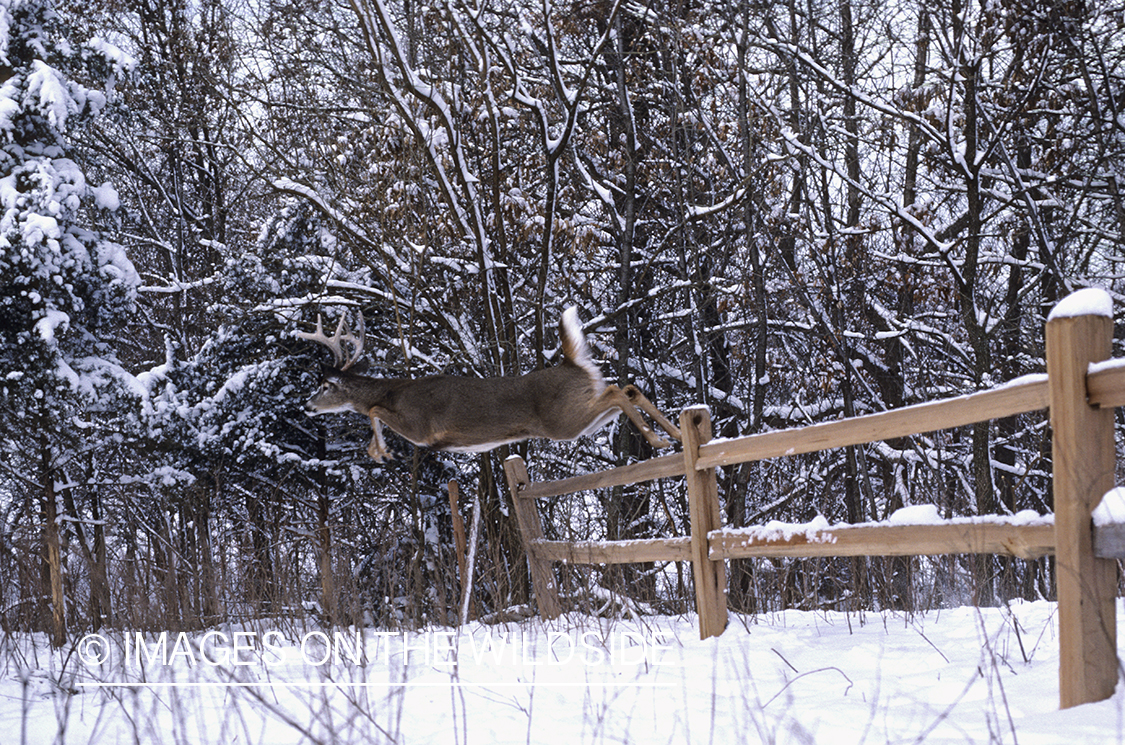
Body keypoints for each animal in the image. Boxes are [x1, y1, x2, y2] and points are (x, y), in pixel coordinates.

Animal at [297, 308, 675, 461]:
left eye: (325, 386)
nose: (307, 405)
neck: (395, 391)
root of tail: (572, 363)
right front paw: (377, 451)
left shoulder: (421, 428)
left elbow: (373, 408)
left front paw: (381, 450)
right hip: (579, 415)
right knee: (627, 389)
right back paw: (673, 435)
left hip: (563, 420)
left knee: (616, 391)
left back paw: (659, 439)